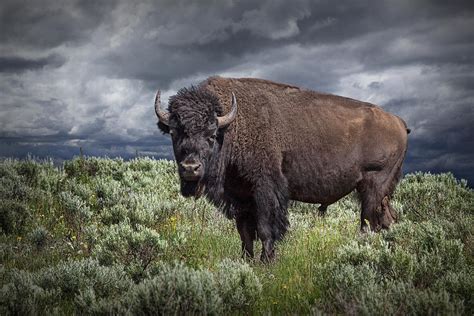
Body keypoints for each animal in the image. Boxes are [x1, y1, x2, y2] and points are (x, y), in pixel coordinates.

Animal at [155, 76, 408, 262]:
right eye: (175, 132)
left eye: (211, 134)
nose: (190, 168)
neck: (233, 126)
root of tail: (399, 122)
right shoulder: (240, 196)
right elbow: (245, 232)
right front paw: (246, 261)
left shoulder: (265, 189)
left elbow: (266, 228)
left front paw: (267, 262)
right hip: (380, 192)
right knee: (387, 219)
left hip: (373, 186)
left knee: (370, 222)